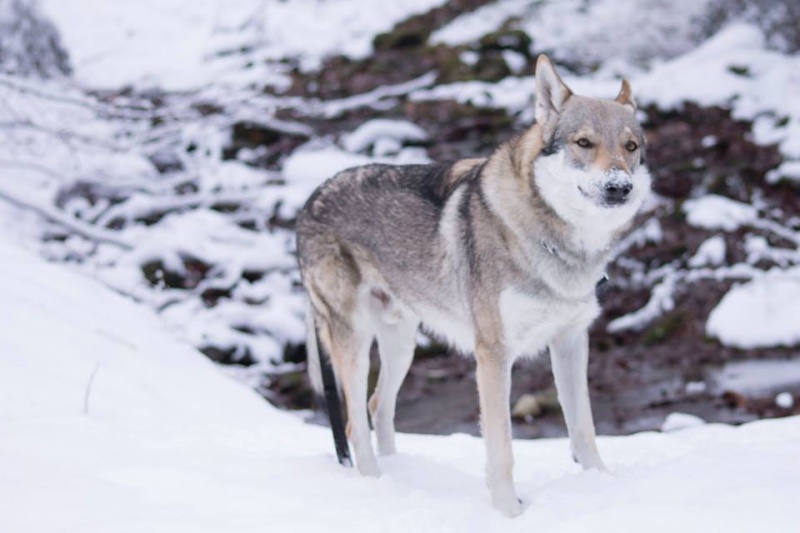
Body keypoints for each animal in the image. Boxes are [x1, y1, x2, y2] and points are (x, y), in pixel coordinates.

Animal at [294, 55, 648, 516]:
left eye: (631, 147)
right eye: (583, 143)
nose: (619, 187)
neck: (554, 242)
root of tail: (308, 201)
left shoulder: (571, 341)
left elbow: (584, 430)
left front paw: (601, 486)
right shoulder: (493, 355)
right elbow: (502, 448)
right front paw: (510, 512)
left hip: (401, 344)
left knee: (378, 408)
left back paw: (402, 476)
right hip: (353, 344)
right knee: (354, 424)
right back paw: (377, 489)